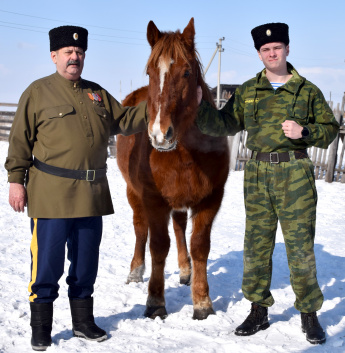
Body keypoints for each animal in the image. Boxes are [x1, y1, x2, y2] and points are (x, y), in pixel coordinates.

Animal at [115, 17, 228, 320]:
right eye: (150, 71)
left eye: (187, 72)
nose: (159, 134)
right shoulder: (154, 200)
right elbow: (158, 246)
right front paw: (155, 301)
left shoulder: (210, 198)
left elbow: (199, 245)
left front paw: (202, 301)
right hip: (134, 193)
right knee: (141, 229)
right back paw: (135, 270)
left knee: (179, 228)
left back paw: (185, 270)